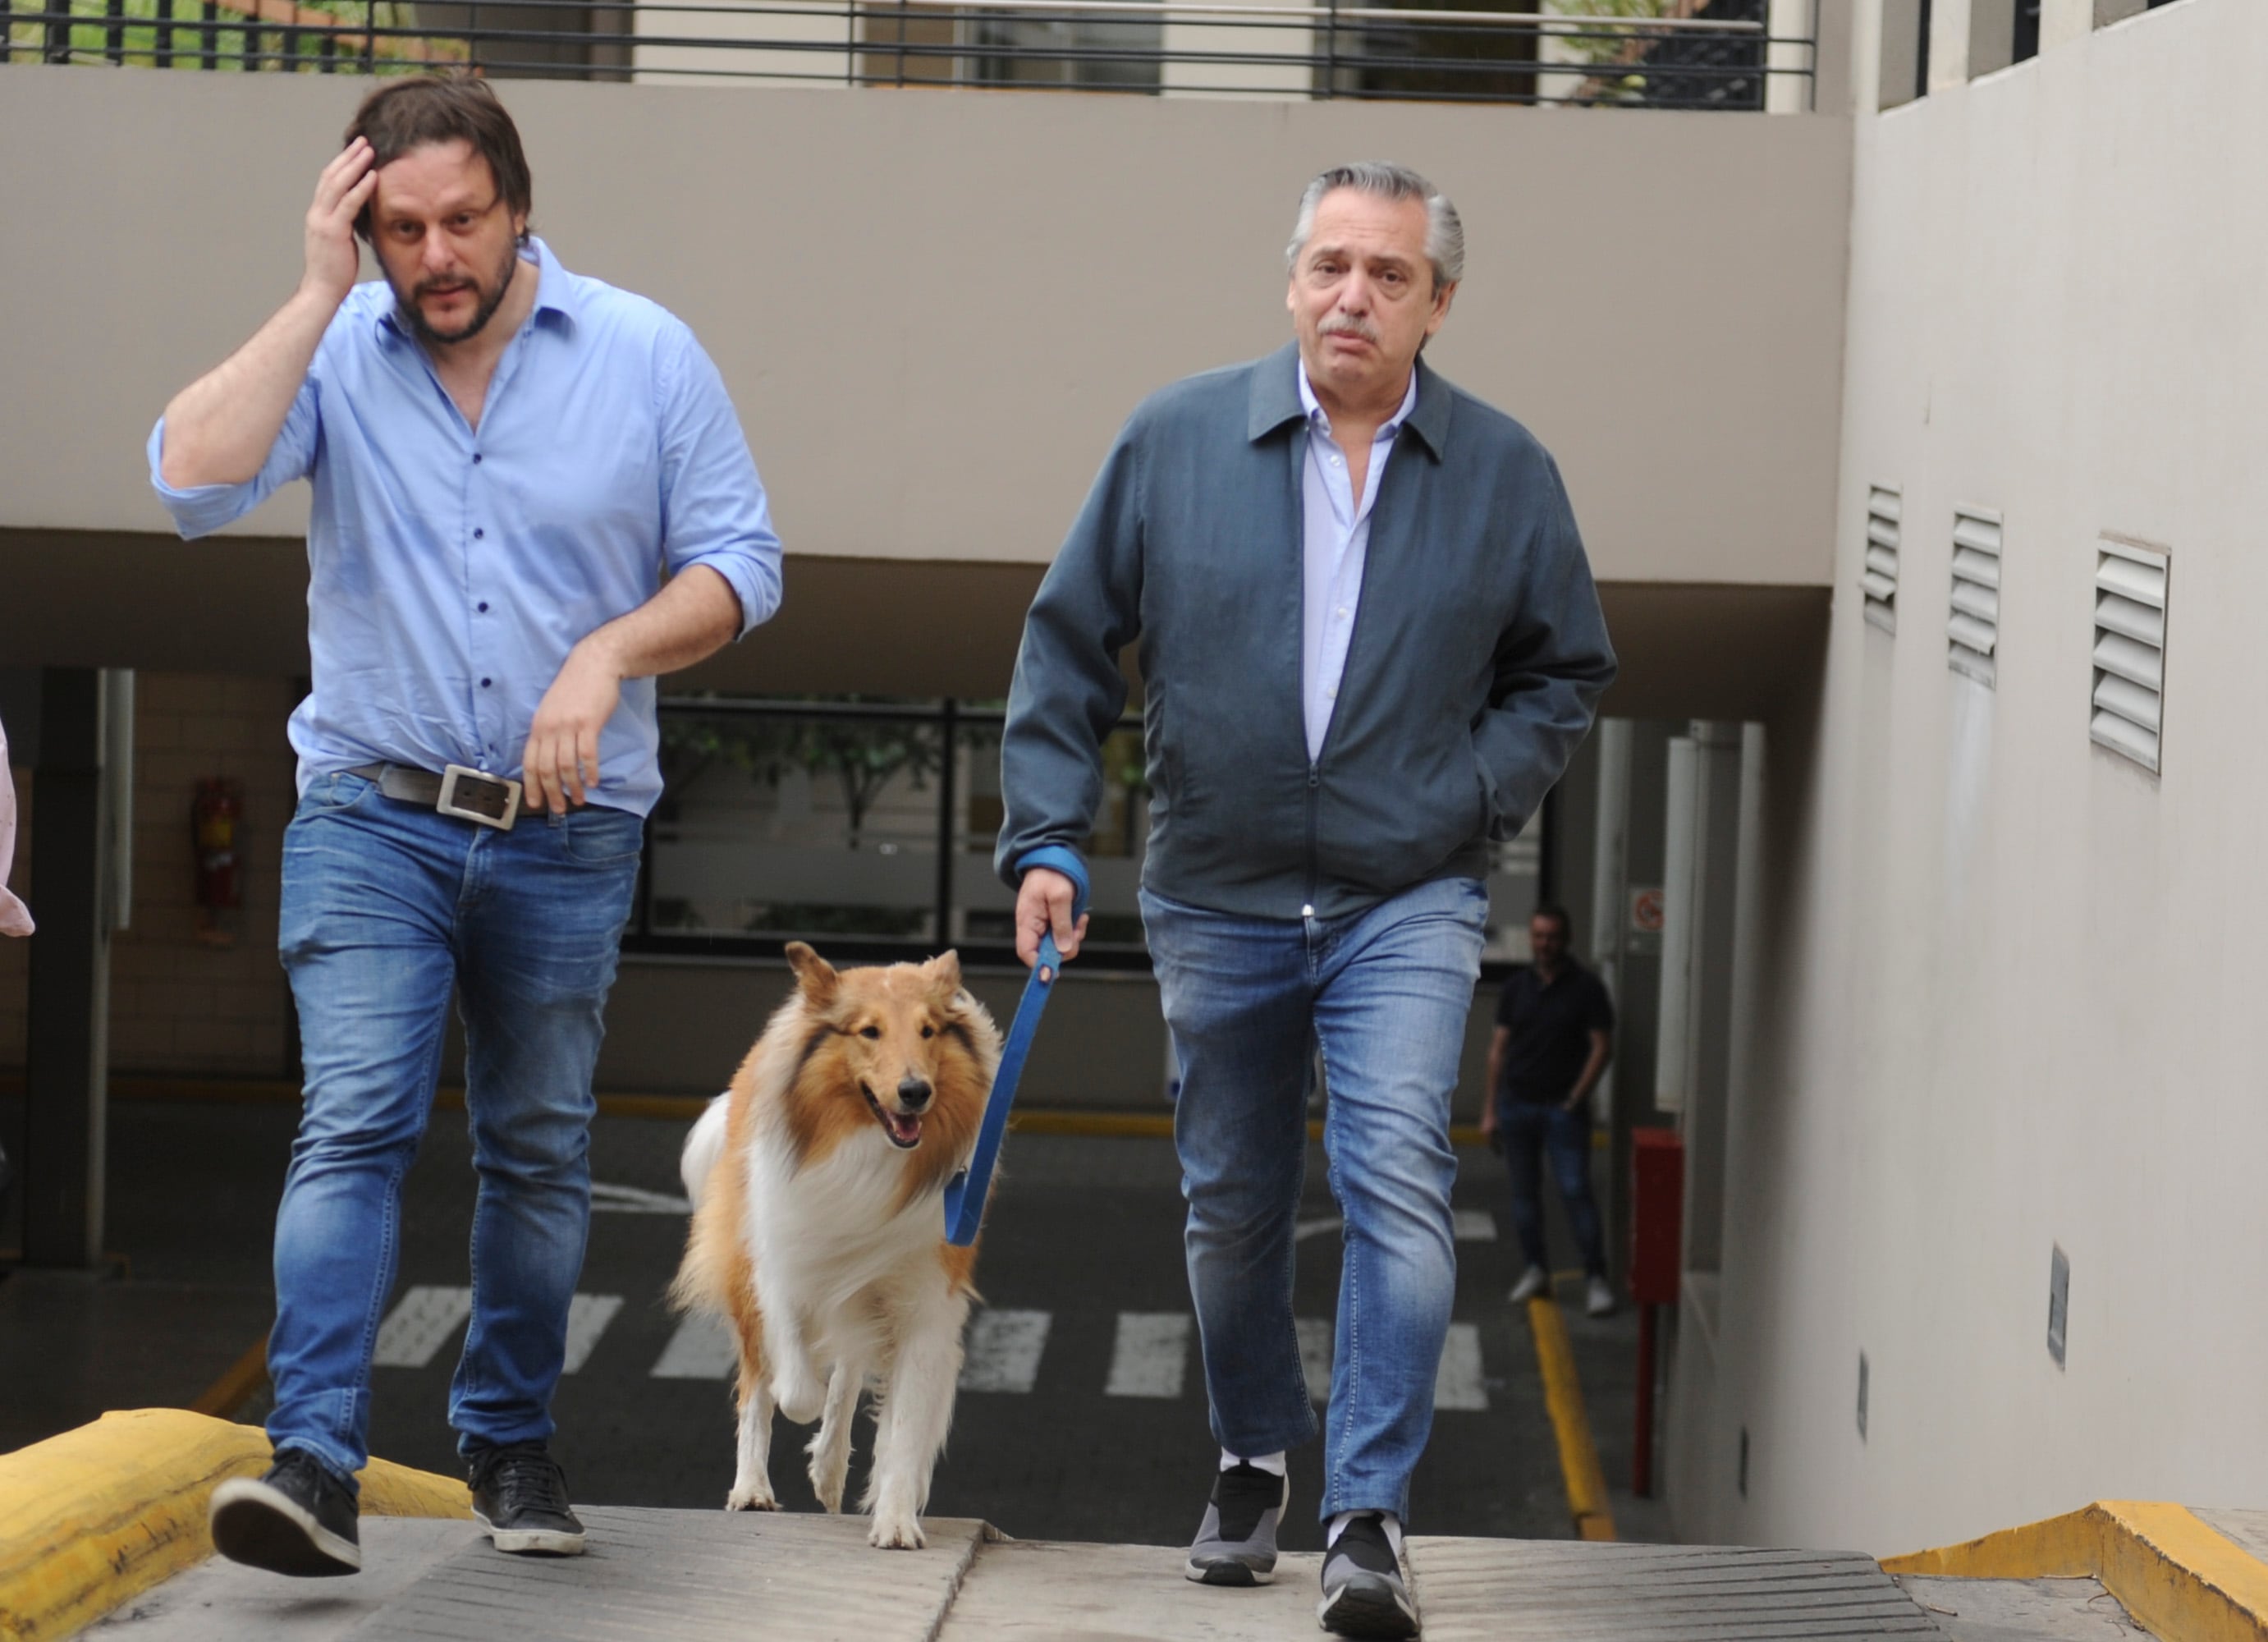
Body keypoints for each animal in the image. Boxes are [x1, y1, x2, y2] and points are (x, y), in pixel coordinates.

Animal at [667, 943, 997, 1542]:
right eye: (868, 1031)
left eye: (928, 1031)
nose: (916, 1093)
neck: (867, 1153)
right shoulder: (779, 1267)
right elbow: (796, 1391)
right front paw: (799, 1408)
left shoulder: (926, 1301)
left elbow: (904, 1419)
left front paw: (896, 1518)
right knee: (758, 1386)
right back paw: (753, 1488)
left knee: (846, 1368)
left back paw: (829, 1467)